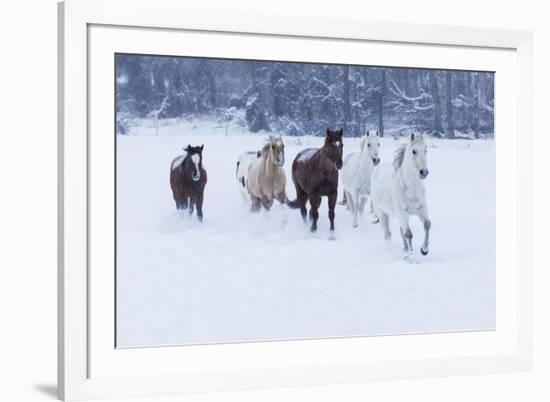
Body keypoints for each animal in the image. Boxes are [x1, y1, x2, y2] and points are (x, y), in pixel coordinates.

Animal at [370, 133, 432, 262]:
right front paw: (412, 257)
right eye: (414, 151)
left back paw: (405, 249)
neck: (411, 189)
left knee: (400, 231)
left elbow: (427, 225)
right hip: (382, 213)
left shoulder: (422, 208)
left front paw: (424, 250)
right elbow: (408, 233)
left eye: (425, 150)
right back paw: (392, 252)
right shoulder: (402, 213)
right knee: (387, 234)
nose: (424, 172)